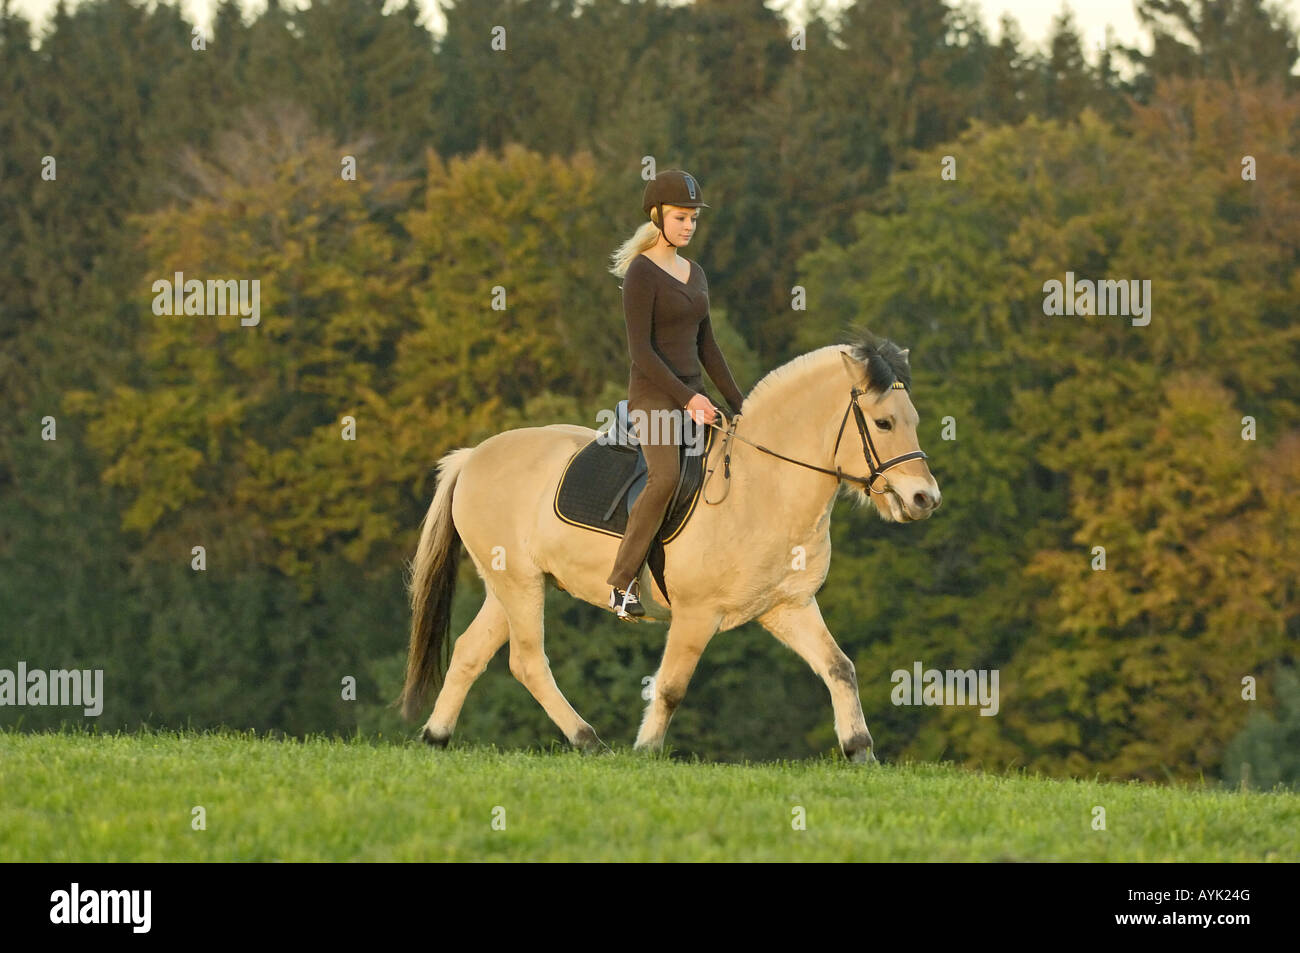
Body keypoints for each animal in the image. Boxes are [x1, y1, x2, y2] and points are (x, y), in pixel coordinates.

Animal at [398, 332, 941, 762]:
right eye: (884, 423)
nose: (924, 499)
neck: (762, 486)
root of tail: (474, 456)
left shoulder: (787, 606)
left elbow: (839, 667)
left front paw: (860, 750)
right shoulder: (697, 614)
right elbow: (672, 686)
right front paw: (646, 751)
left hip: (510, 585)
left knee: (470, 652)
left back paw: (436, 737)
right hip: (520, 583)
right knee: (528, 661)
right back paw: (589, 741)